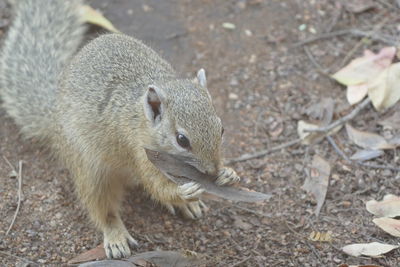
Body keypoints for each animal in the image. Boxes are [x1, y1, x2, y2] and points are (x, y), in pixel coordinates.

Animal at [0, 0, 241, 260]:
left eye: (222, 129)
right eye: (182, 140)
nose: (212, 171)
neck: (140, 119)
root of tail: (54, 117)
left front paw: (228, 173)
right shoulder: (138, 152)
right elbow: (155, 186)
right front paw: (183, 193)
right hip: (88, 169)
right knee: (101, 207)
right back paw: (115, 235)